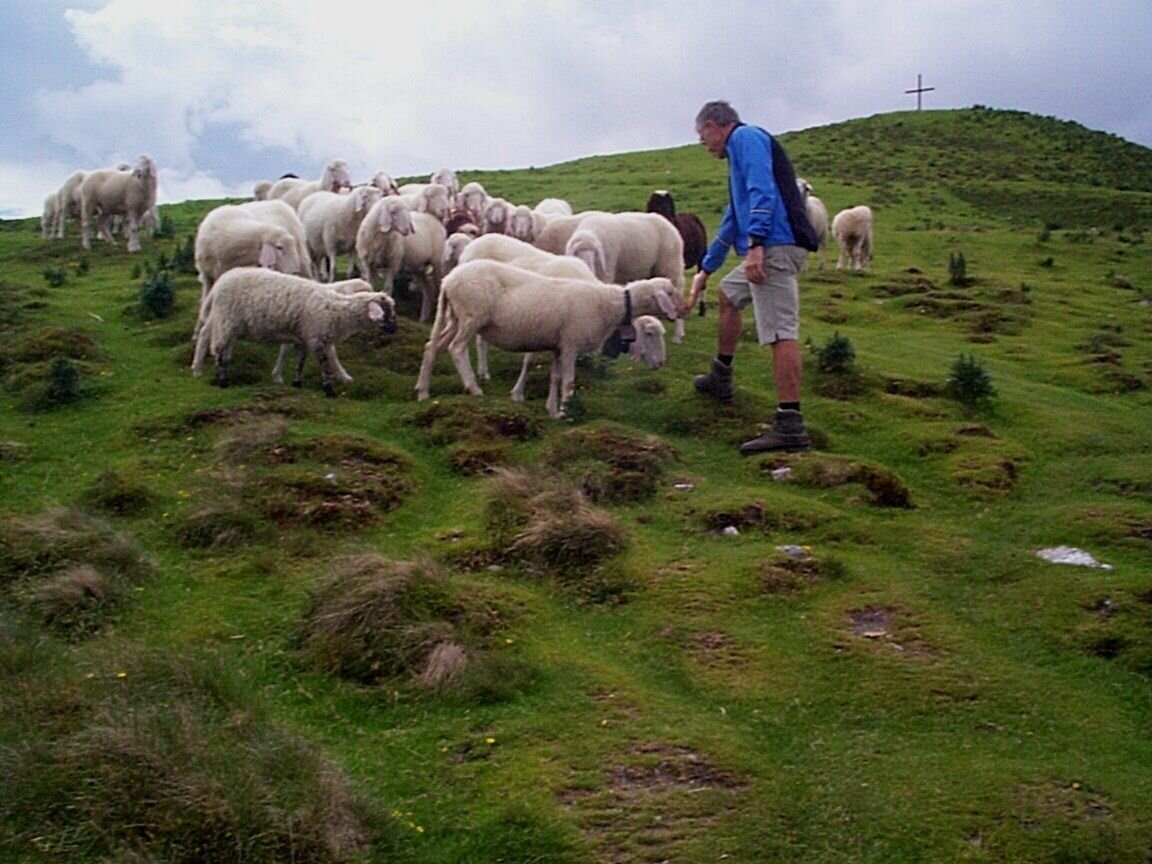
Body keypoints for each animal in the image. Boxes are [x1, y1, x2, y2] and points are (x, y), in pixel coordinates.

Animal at [191, 267, 396, 397]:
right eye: (387, 311)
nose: (395, 329)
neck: (336, 308)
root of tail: (220, 282)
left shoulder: (304, 336)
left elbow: (300, 361)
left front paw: (297, 383)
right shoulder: (315, 336)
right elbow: (325, 364)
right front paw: (330, 389)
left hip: (226, 323)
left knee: (217, 344)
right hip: (226, 320)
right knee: (218, 348)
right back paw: (220, 380)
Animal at [414, 259, 680, 418]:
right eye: (649, 334)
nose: (661, 364)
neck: (609, 304)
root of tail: (448, 280)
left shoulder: (558, 346)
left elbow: (555, 378)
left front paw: (552, 410)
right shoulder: (571, 343)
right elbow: (569, 381)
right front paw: (566, 411)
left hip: (455, 317)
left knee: (432, 346)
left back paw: (423, 391)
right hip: (472, 315)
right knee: (456, 348)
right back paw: (474, 388)